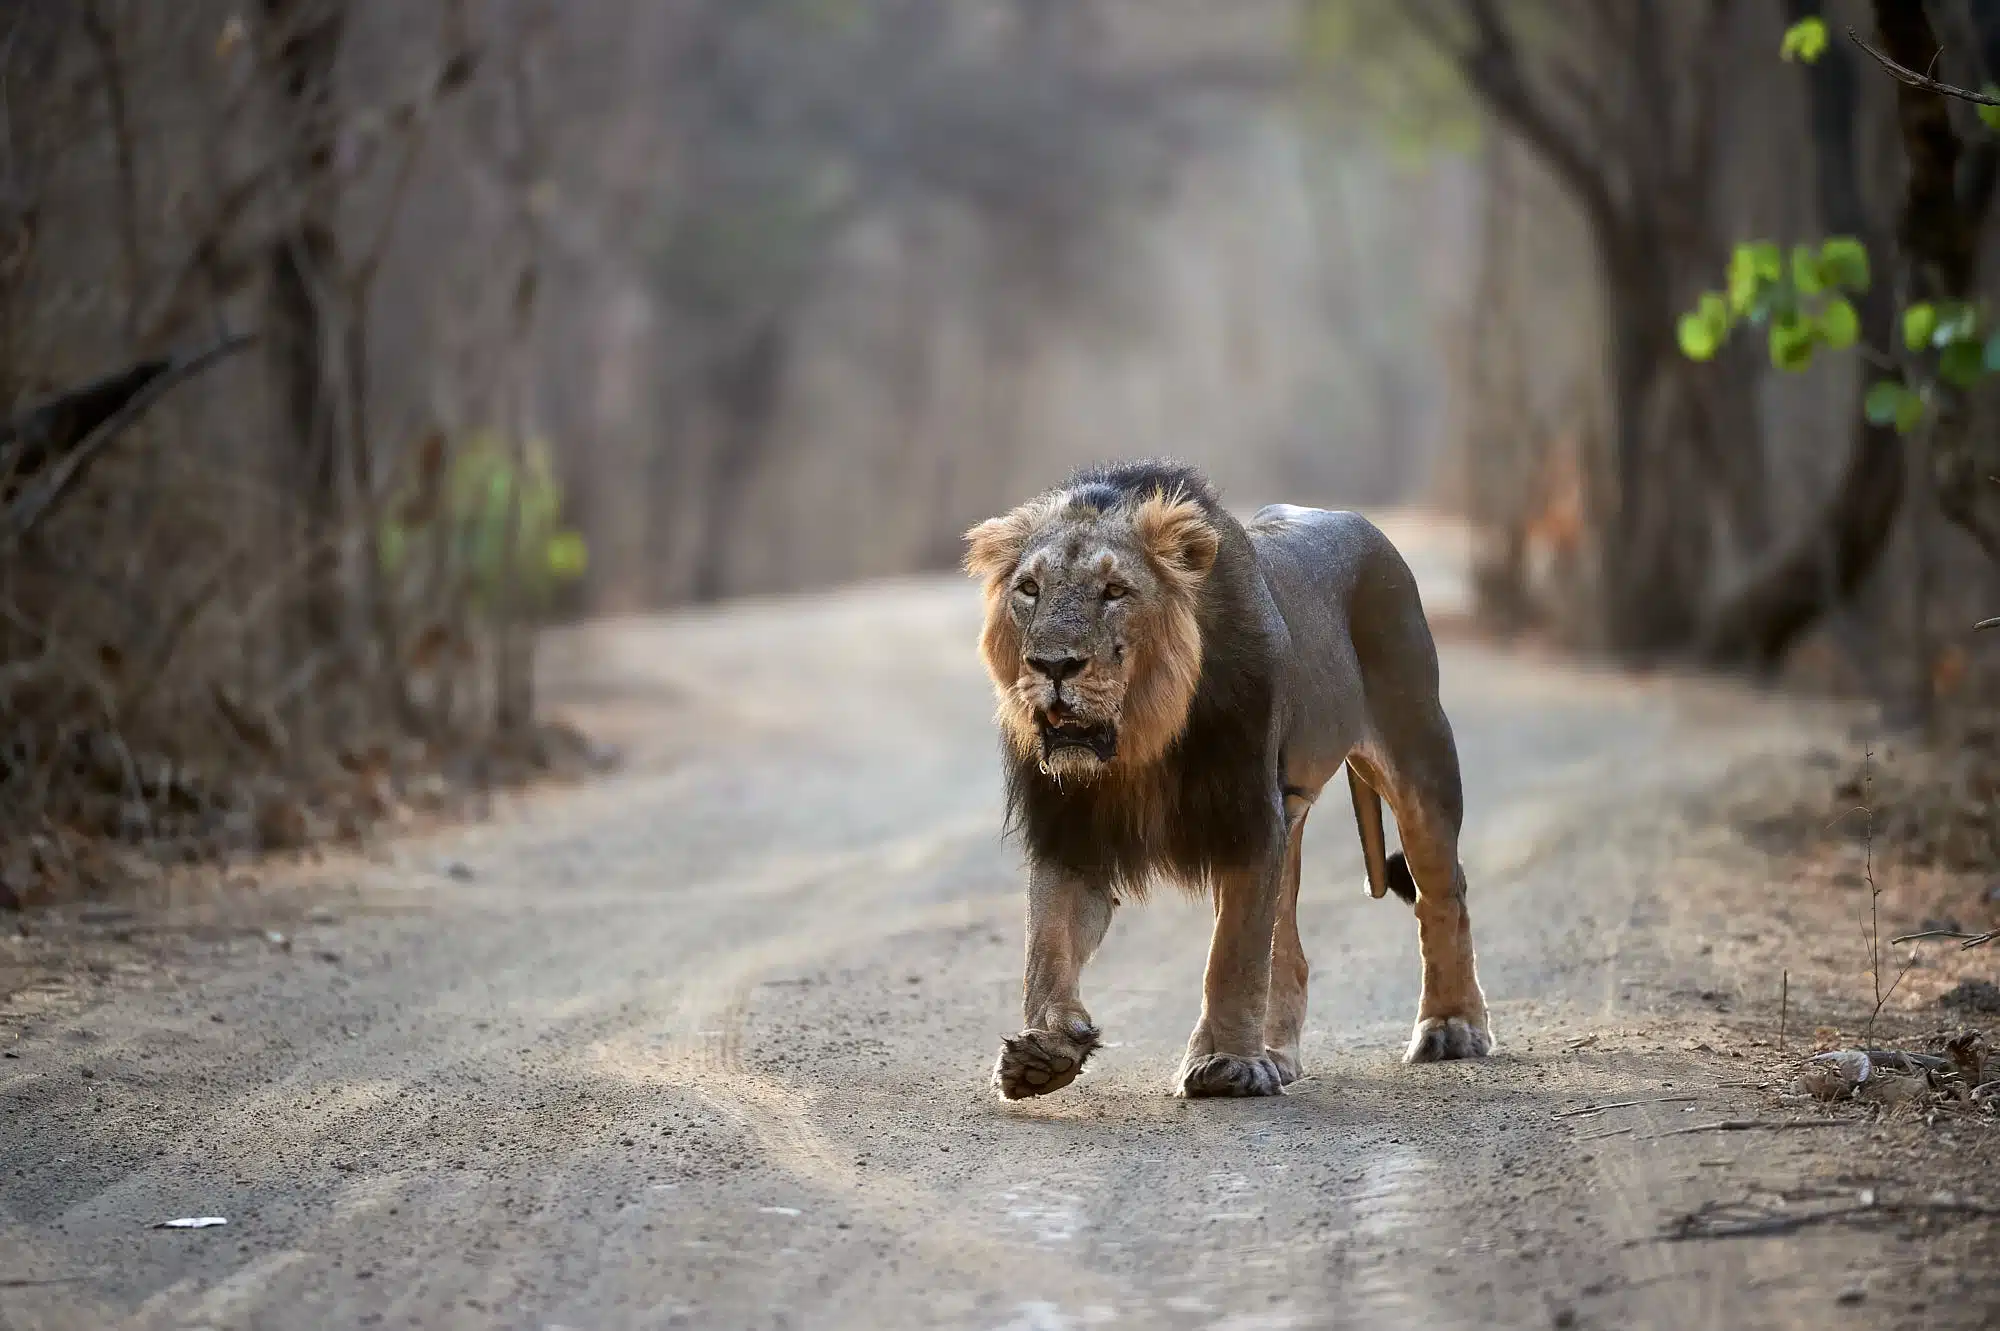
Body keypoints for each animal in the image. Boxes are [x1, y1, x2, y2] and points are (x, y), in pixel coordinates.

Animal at [963, 460, 1492, 1099]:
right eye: (1029, 590)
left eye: (1115, 592)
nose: (1053, 665)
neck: (1141, 742)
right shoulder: (1068, 828)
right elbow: (1047, 946)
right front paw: (1046, 1051)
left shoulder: (1248, 817)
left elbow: (1233, 956)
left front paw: (1227, 1066)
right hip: (1292, 812)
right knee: (1289, 949)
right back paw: (1278, 1053)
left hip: (1418, 754)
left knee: (1443, 893)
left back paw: (1451, 1027)